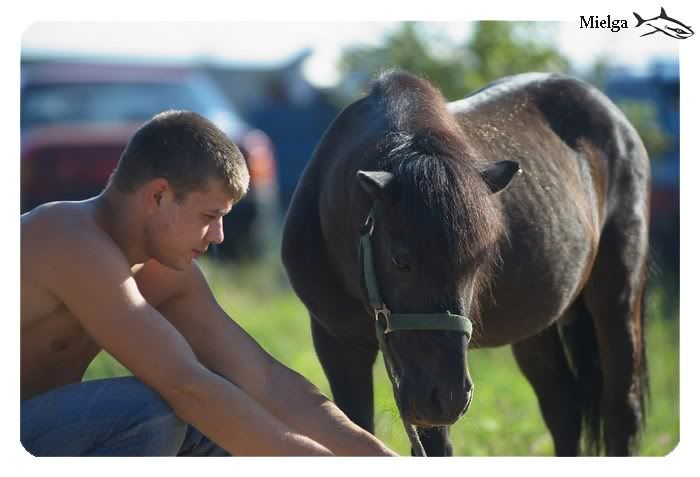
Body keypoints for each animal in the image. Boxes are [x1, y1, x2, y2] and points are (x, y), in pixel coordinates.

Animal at [280, 69, 652, 454]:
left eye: (479, 263)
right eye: (401, 261)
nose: (448, 396)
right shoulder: (337, 343)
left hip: (616, 296)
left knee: (620, 408)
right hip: (534, 328)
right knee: (562, 406)